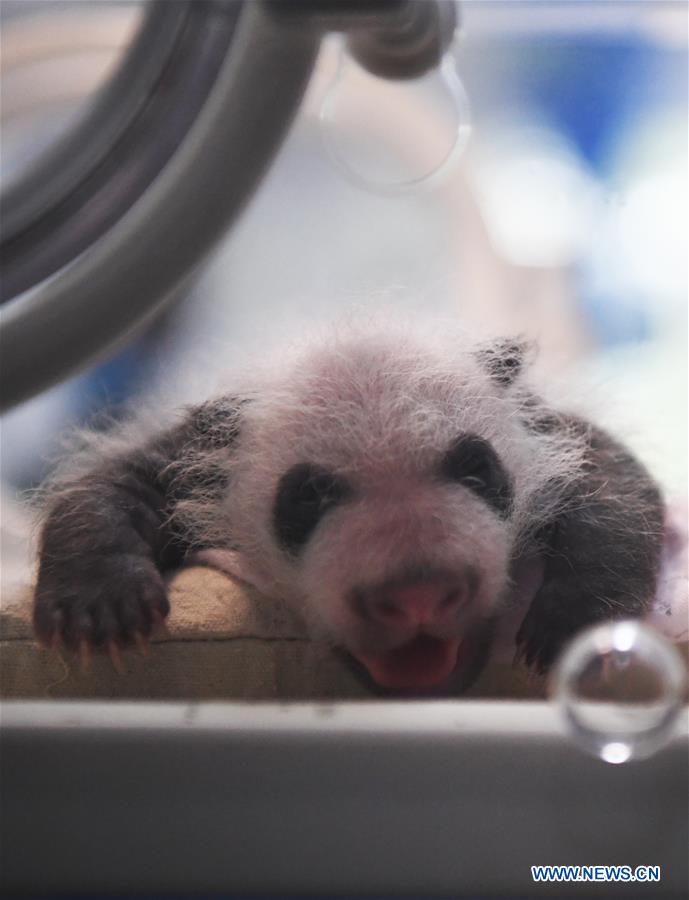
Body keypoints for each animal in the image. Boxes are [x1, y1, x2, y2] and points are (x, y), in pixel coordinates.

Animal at [33, 326, 668, 696]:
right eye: (307, 498)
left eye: (477, 469)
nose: (418, 595)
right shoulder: (201, 454)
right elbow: (119, 481)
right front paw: (101, 607)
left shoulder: (538, 426)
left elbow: (605, 475)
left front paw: (575, 621)